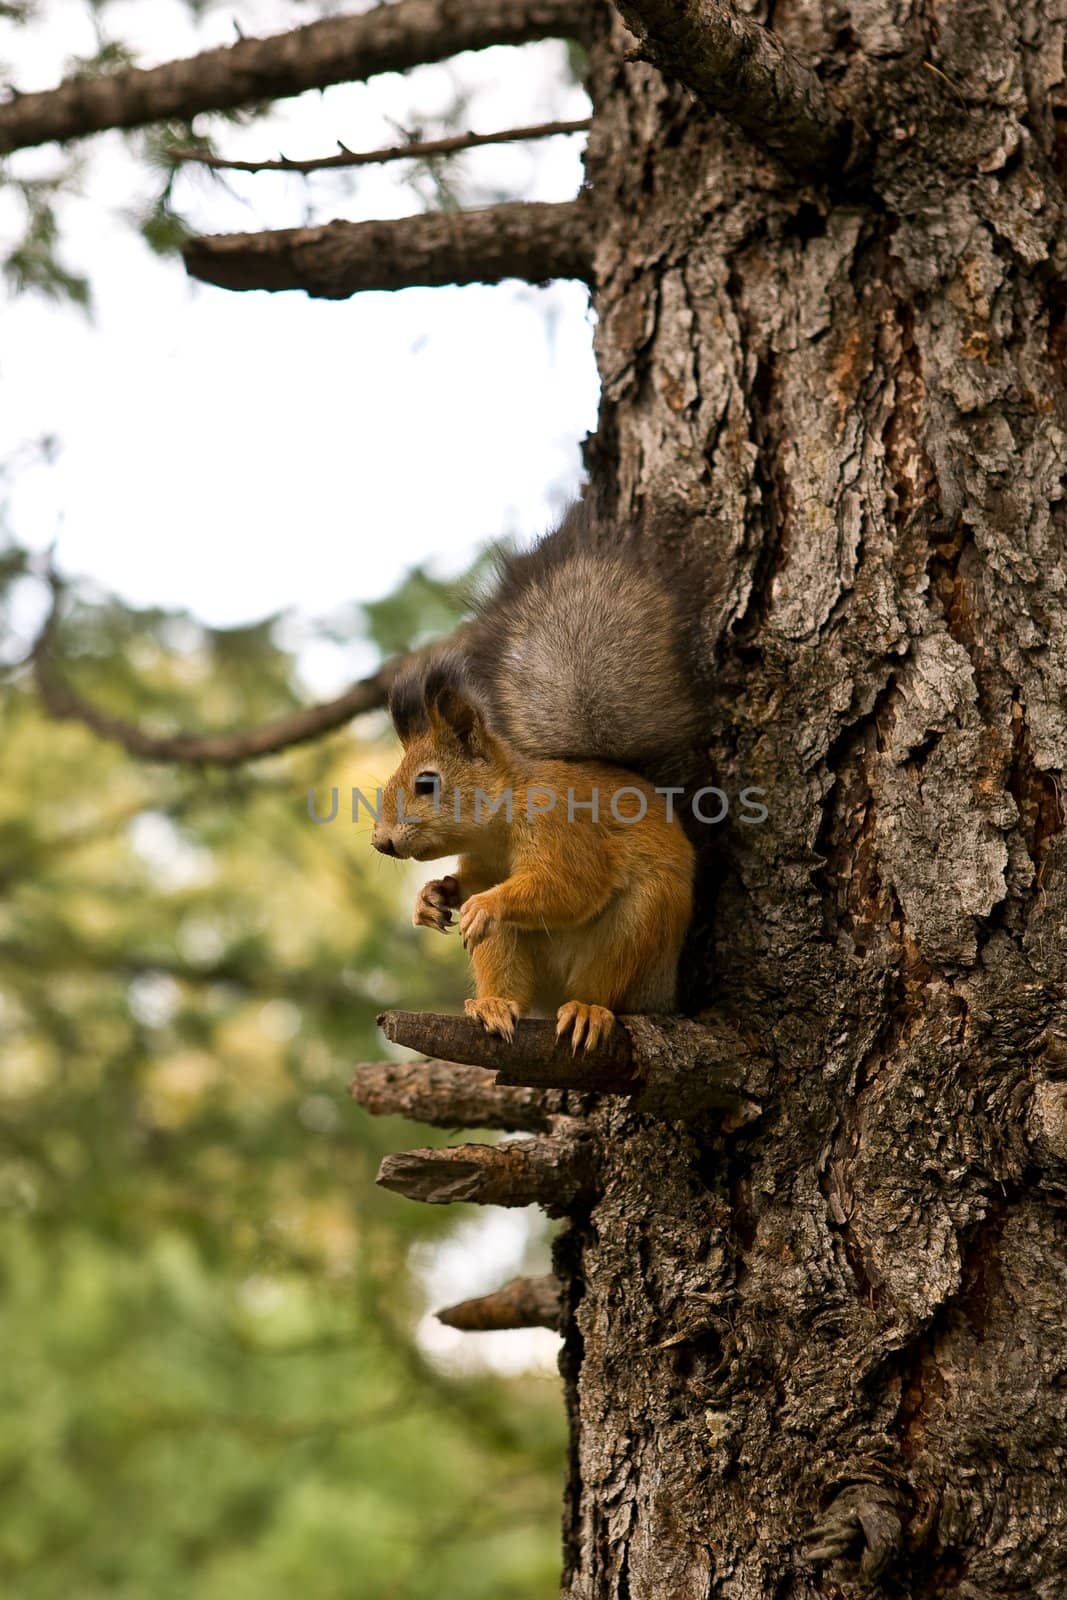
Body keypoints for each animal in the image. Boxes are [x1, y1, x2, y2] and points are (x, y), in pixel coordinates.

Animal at [374, 499, 700, 1049]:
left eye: (426, 783)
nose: (380, 842)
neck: (501, 817)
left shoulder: (560, 826)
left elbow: (570, 884)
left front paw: (484, 903)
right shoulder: (483, 860)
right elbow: (471, 882)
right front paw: (431, 897)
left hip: (642, 925)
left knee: (603, 978)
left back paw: (587, 1009)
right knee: (507, 966)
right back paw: (494, 1003)